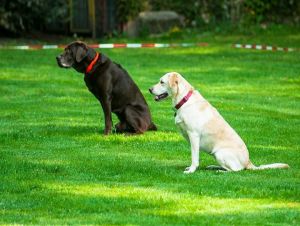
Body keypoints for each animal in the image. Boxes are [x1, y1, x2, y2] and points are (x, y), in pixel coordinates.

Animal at [149, 71, 290, 174]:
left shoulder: (193, 135)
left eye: (161, 82)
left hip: (220, 153)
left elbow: (194, 157)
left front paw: (191, 170)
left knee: (237, 170)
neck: (184, 100)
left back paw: (220, 171)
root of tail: (249, 162)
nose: (149, 89)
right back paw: (213, 166)